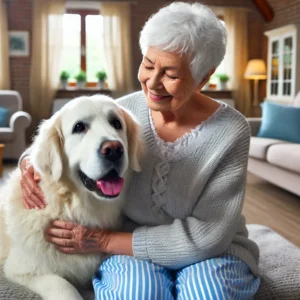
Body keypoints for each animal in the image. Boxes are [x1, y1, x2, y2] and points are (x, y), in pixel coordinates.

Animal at [0, 95, 143, 300]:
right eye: (79, 127)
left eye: (116, 123)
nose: (114, 149)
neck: (70, 208)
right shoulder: (21, 269)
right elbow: (63, 285)